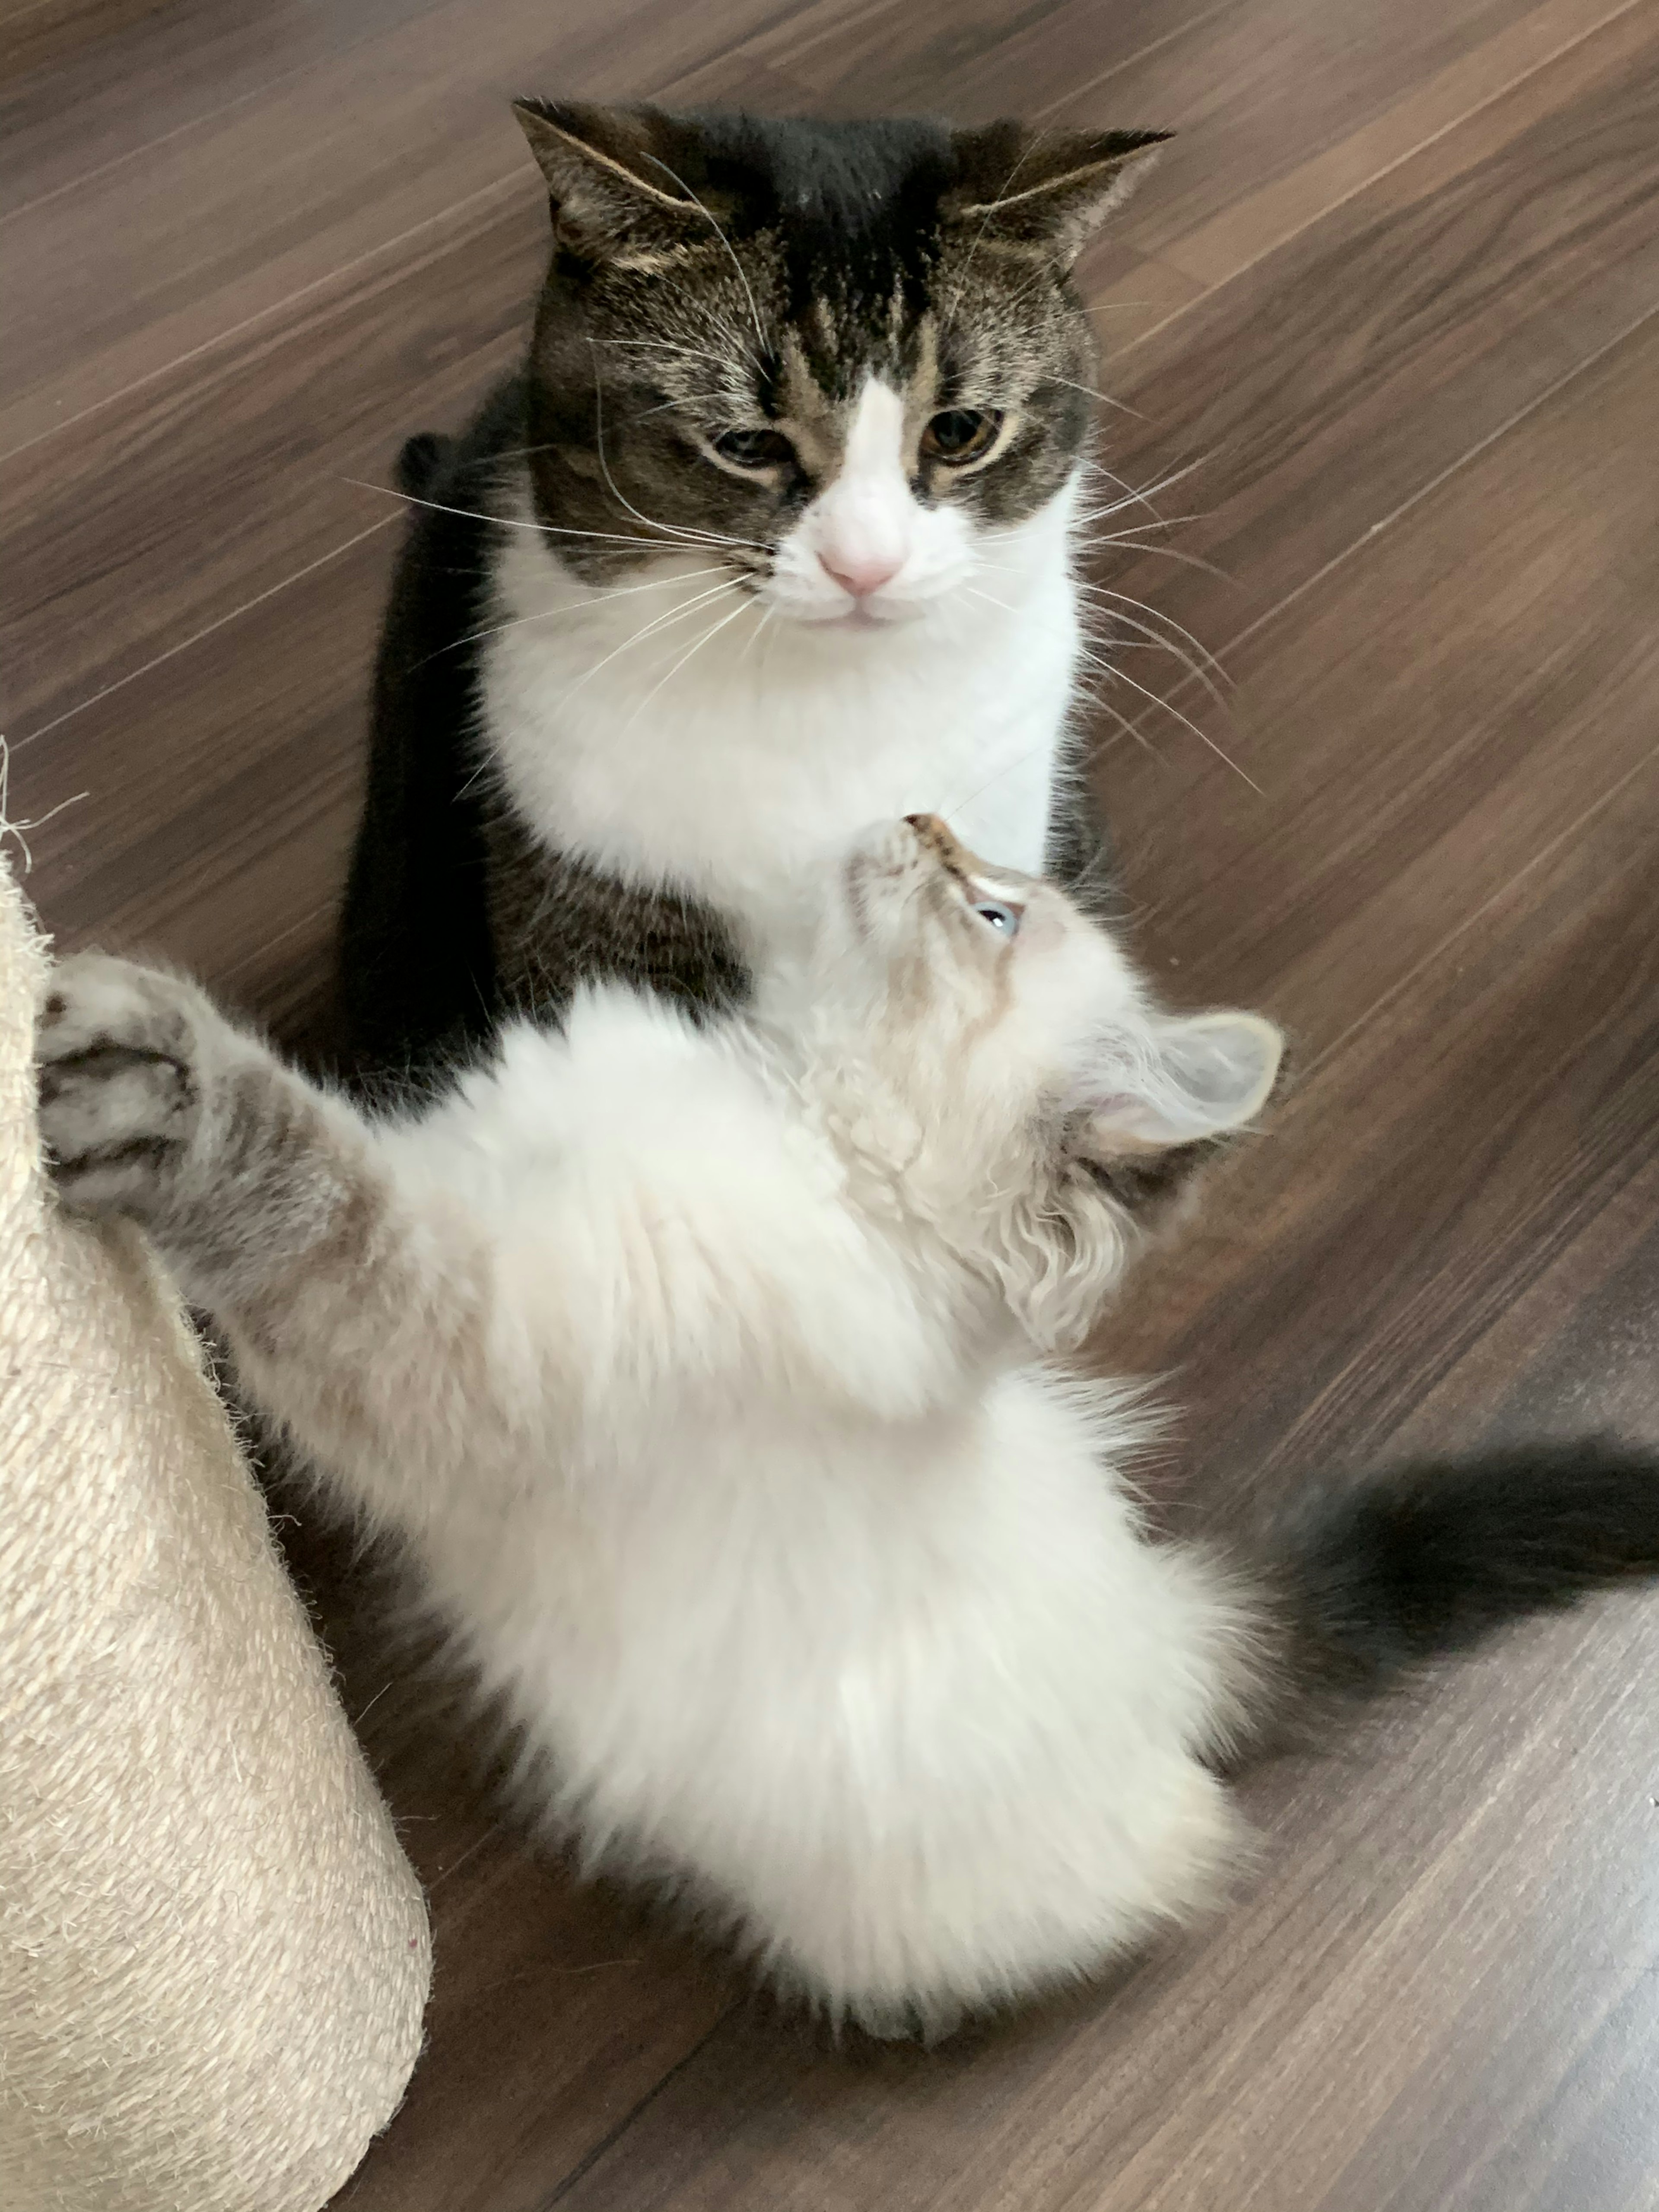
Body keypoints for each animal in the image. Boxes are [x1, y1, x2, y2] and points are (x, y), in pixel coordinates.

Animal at [35, 818, 1659, 2035]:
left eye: (994, 910)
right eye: (975, 867)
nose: (920, 814)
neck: (787, 1117)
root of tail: (1177, 1633)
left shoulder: (456, 1338)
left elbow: (305, 1194)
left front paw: (140, 1083)